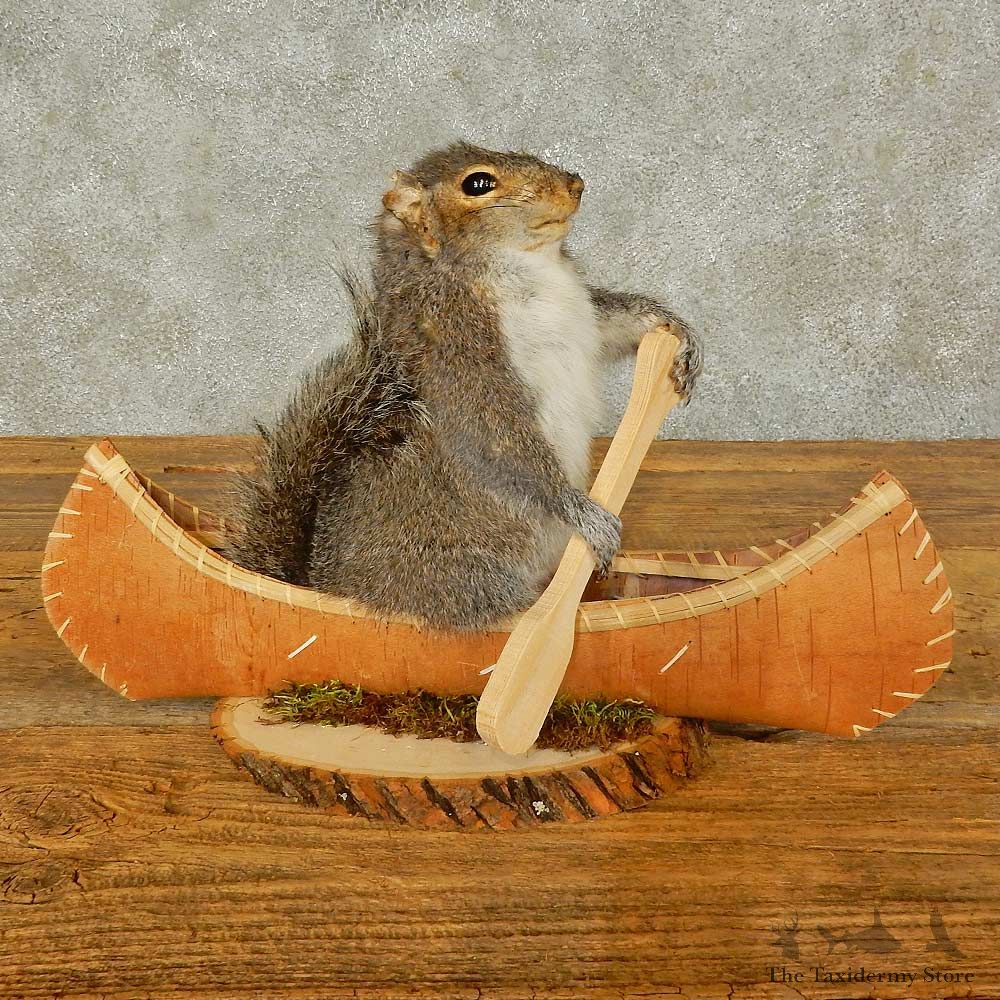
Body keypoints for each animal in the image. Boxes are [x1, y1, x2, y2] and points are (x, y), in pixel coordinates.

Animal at [221, 141, 701, 633]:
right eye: (478, 183)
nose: (575, 185)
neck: (529, 265)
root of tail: (328, 584)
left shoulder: (582, 312)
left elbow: (611, 323)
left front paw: (674, 331)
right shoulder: (461, 359)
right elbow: (503, 444)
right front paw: (585, 516)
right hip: (457, 573)